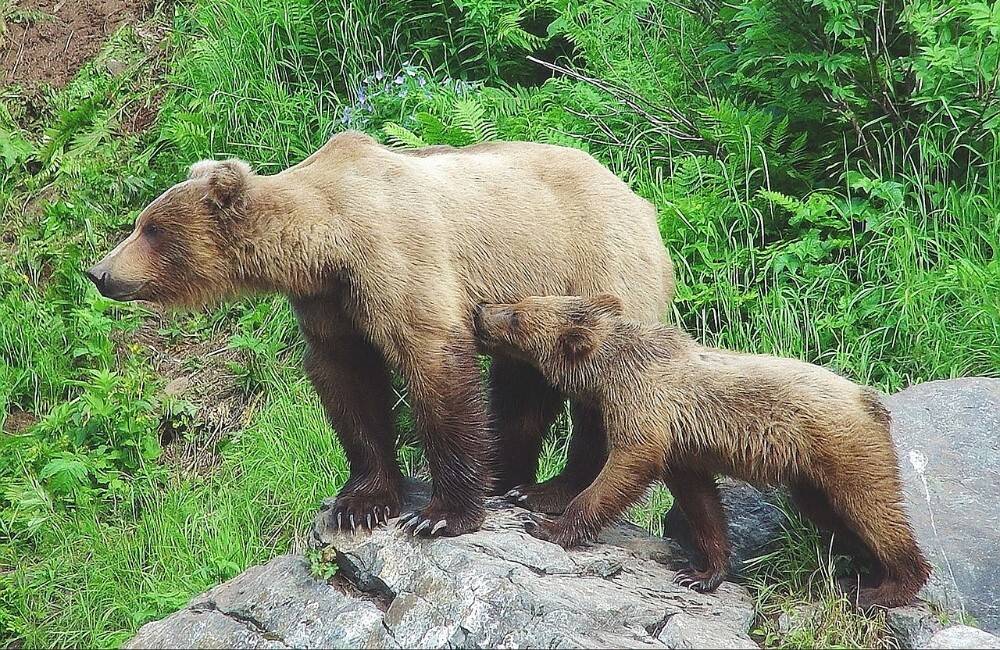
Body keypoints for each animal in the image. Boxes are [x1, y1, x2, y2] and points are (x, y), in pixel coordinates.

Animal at [88, 133, 672, 536]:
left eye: (151, 229)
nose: (98, 271)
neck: (326, 241)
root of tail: (643, 202)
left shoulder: (395, 261)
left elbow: (434, 365)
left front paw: (440, 514)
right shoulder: (329, 303)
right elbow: (349, 383)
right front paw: (360, 503)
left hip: (595, 268)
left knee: (598, 389)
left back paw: (550, 491)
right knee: (521, 387)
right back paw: (508, 478)